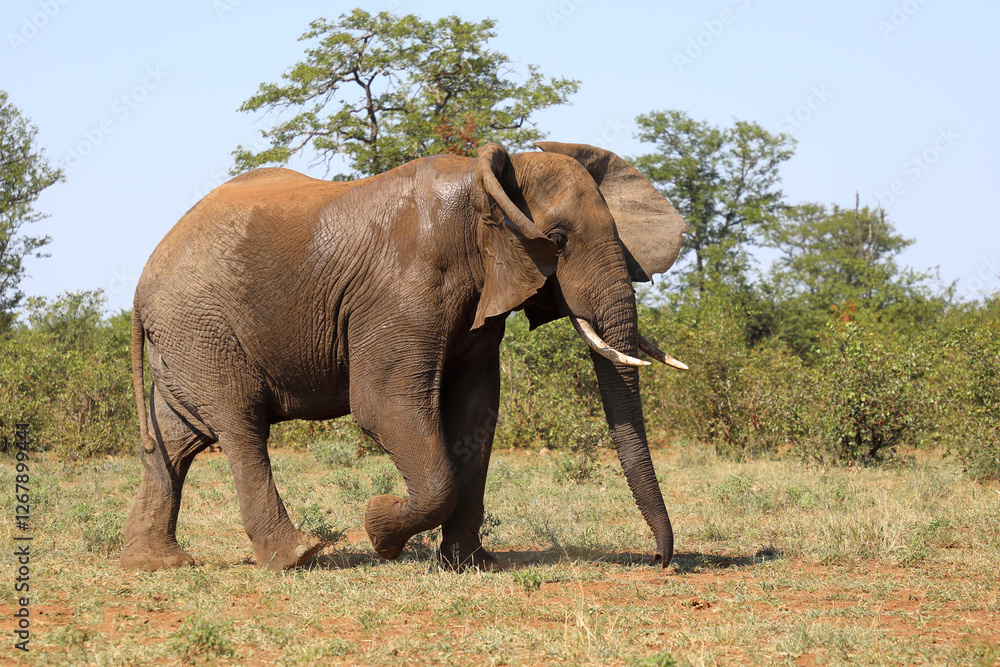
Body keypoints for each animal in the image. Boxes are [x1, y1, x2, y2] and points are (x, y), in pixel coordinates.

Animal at [120, 141, 688, 572]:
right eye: (558, 240)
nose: (660, 562)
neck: (484, 185)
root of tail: (142, 283)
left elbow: (476, 414)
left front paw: (469, 564)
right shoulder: (402, 291)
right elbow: (383, 407)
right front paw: (379, 530)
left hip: (186, 338)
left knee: (176, 438)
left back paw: (157, 563)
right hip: (202, 327)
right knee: (240, 427)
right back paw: (297, 556)